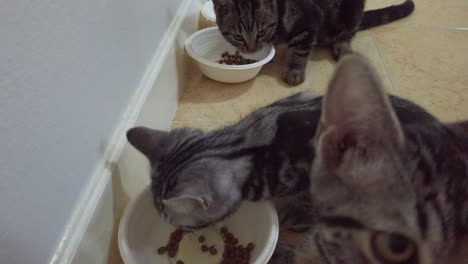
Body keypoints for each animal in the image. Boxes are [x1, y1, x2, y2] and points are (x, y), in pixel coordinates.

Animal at [212, 0, 414, 85]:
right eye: (238, 36)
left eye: (260, 32)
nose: (251, 49)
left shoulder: (309, 22)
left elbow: (300, 52)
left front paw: (294, 71)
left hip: (352, 12)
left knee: (346, 34)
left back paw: (342, 48)